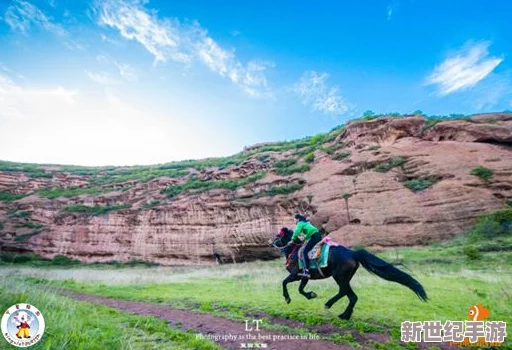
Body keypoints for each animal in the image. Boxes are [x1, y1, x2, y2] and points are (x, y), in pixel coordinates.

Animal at [272, 227, 428, 320]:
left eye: (277, 235)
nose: (271, 242)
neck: (294, 251)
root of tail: (353, 253)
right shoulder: (304, 277)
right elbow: (300, 289)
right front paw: (310, 295)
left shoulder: (295, 275)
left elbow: (285, 282)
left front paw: (287, 298)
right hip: (345, 278)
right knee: (352, 296)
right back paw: (344, 315)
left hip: (339, 277)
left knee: (344, 292)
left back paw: (329, 304)